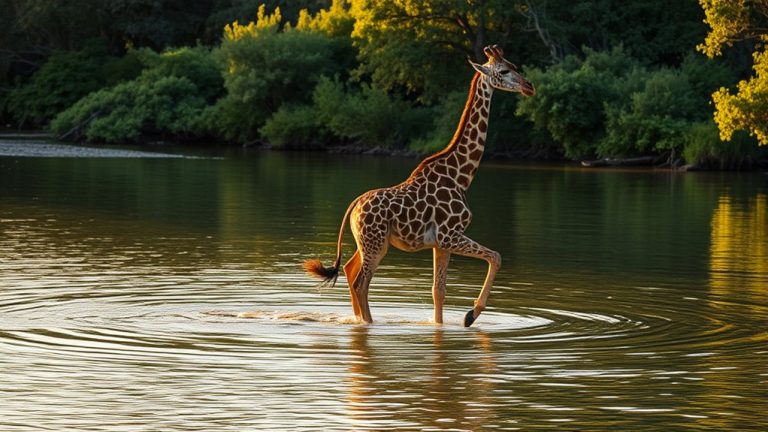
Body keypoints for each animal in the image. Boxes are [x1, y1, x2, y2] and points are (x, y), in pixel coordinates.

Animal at [304, 45, 535, 327]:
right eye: (503, 71)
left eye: (514, 65)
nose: (529, 86)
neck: (461, 176)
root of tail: (354, 205)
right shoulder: (450, 235)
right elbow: (496, 256)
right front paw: (471, 315)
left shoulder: (440, 243)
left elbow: (438, 291)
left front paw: (446, 323)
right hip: (375, 243)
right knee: (361, 282)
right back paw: (369, 324)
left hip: (369, 242)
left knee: (349, 271)